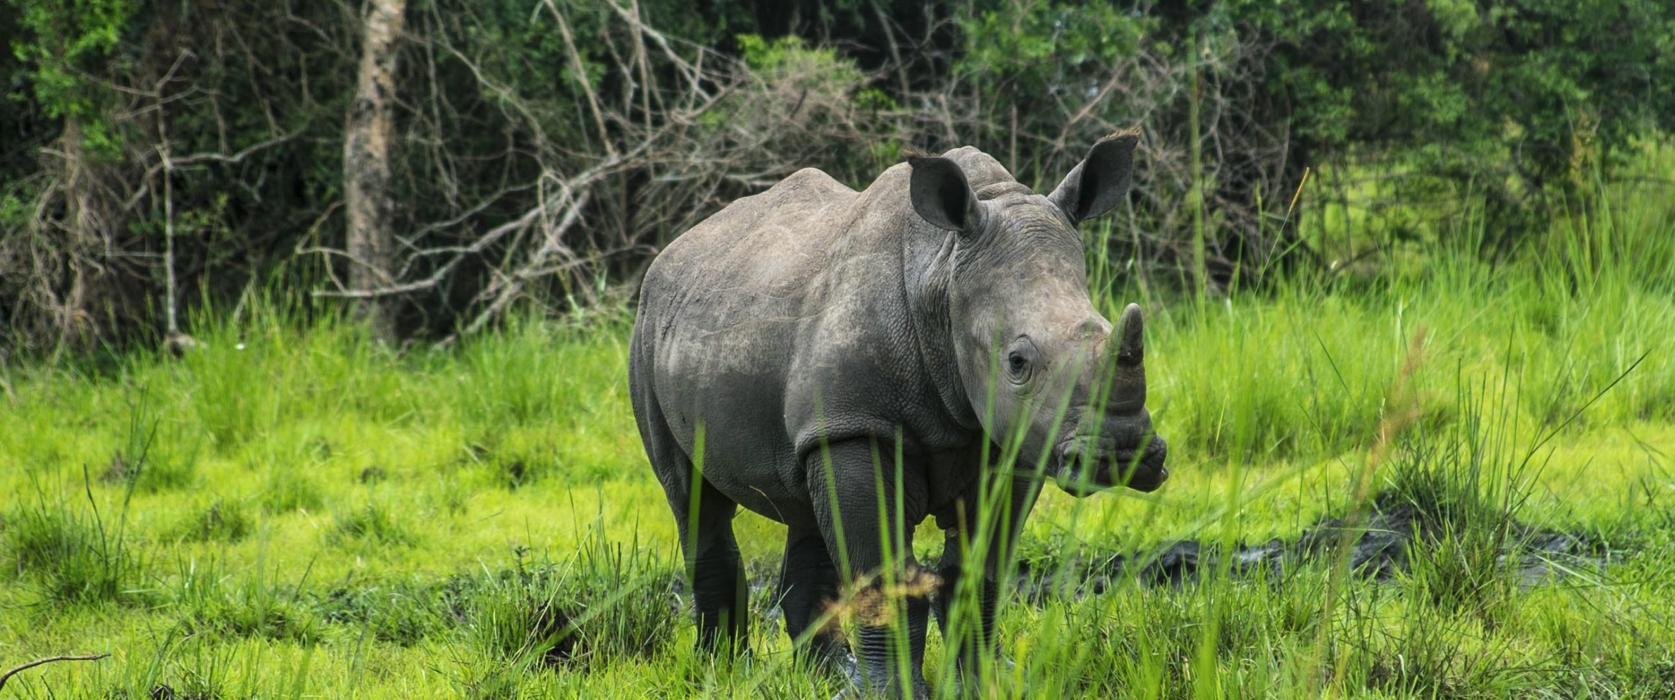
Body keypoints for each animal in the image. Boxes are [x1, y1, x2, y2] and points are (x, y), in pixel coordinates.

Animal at [628, 133, 1167, 697]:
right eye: (1017, 362)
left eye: (1103, 327)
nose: (1123, 452)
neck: (942, 275)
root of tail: (674, 250)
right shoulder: (857, 425)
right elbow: (886, 579)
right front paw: (896, 692)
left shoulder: (1011, 439)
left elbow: (978, 575)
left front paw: (981, 684)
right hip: (650, 331)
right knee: (692, 498)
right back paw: (723, 671)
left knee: (805, 506)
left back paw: (829, 677)